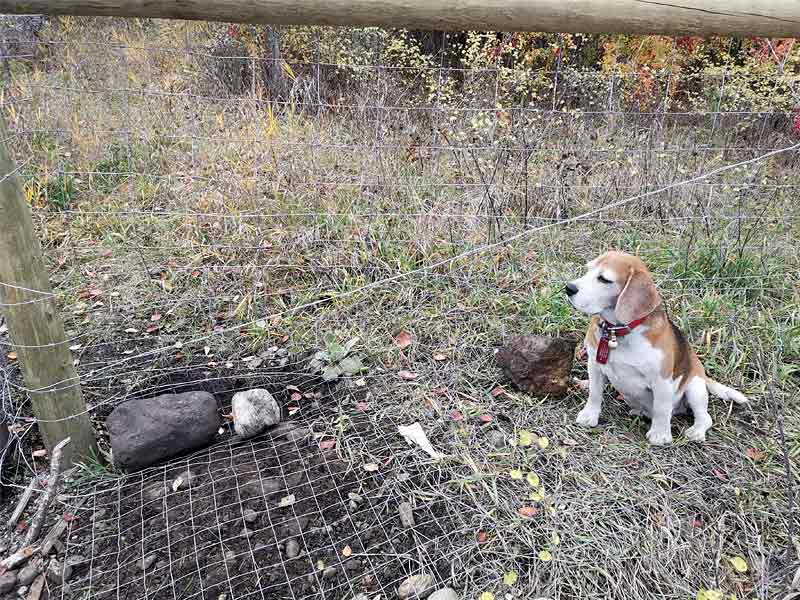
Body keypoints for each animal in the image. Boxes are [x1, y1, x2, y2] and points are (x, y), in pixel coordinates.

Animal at [564, 251, 748, 442]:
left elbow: (661, 408)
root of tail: (702, 373)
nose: (568, 288)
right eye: (588, 269)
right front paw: (589, 415)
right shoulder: (594, 365)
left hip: (695, 388)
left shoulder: (662, 380)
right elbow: (594, 393)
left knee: (705, 417)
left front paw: (660, 435)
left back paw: (696, 431)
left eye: (604, 279)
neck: (618, 331)